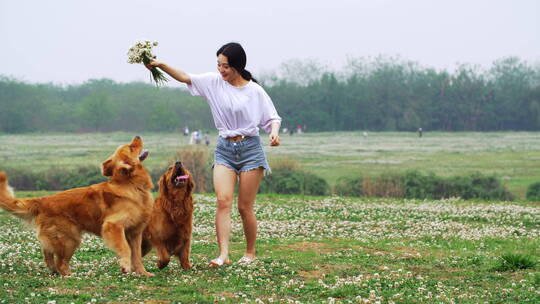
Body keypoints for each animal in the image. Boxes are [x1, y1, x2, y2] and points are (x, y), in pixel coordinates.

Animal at [0, 137, 154, 276]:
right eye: (131, 147)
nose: (137, 136)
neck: (131, 184)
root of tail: (43, 200)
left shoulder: (135, 233)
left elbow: (137, 255)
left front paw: (143, 273)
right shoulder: (113, 225)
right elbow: (125, 248)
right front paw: (125, 266)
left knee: (48, 254)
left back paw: (54, 271)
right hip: (70, 239)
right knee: (61, 262)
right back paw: (69, 275)